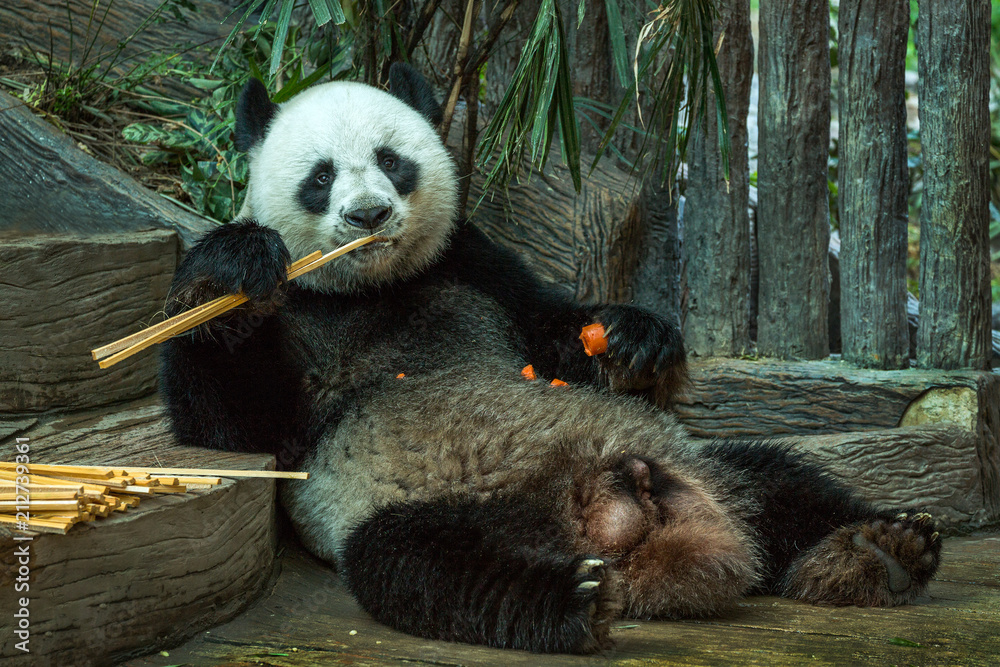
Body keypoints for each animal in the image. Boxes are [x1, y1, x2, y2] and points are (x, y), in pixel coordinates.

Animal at [160, 63, 942, 654]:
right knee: (425, 567)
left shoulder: (476, 264)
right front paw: (229, 270)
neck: (373, 285)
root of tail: (614, 513)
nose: (369, 217)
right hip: (439, 512)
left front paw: (636, 338)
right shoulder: (299, 323)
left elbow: (555, 331)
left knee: (780, 478)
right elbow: (232, 430)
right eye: (320, 177)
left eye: (391, 161)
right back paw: (575, 600)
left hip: (698, 462)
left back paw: (882, 550)